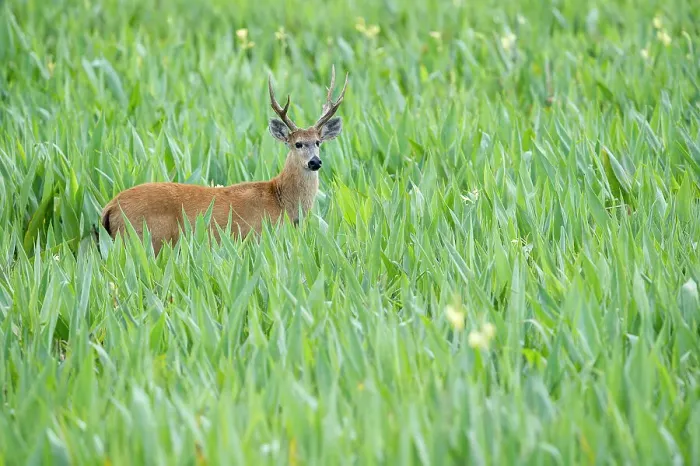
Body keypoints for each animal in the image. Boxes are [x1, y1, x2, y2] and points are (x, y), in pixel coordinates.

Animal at [98, 66, 349, 255]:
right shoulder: (256, 237)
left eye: (318, 142)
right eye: (297, 144)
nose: (315, 162)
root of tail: (109, 207)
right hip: (144, 239)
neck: (282, 201)